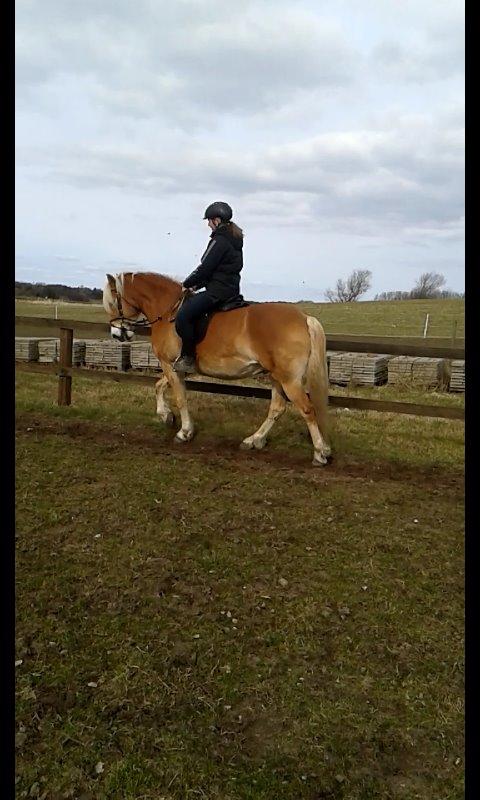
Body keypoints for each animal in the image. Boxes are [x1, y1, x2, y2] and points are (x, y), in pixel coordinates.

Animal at [103, 272, 332, 466]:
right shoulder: (177, 366)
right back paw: (253, 440)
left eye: (114, 302)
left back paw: (320, 453)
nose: (117, 335)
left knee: (307, 410)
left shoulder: (169, 364)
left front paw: (184, 432)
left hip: (289, 380)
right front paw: (165, 415)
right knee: (277, 408)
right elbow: (159, 386)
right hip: (276, 376)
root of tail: (304, 318)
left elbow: (180, 397)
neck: (168, 311)